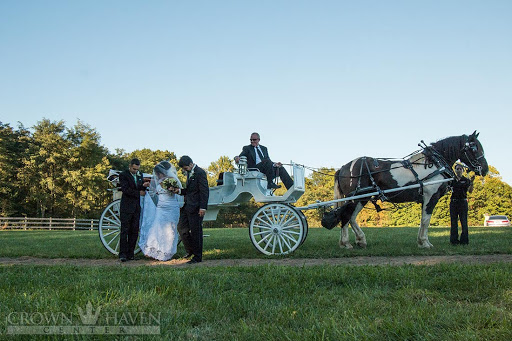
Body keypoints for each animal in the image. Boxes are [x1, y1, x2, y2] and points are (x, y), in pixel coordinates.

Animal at [324, 131, 488, 247]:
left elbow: (423, 220)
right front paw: (425, 242)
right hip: (356, 198)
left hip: (361, 198)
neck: (434, 162)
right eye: (475, 147)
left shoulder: (425, 199)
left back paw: (360, 240)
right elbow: (426, 220)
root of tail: (343, 168)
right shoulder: (431, 196)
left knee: (350, 217)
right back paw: (346, 243)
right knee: (346, 217)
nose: (485, 169)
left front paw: (421, 241)